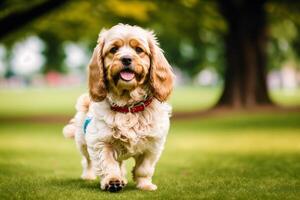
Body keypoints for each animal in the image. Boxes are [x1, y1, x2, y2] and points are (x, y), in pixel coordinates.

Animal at [63, 23, 175, 192]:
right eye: (114, 49)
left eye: (139, 50)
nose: (126, 59)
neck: (128, 107)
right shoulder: (101, 142)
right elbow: (108, 165)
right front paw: (113, 181)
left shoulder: (153, 145)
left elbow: (144, 169)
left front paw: (145, 185)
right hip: (83, 143)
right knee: (87, 162)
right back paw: (89, 176)